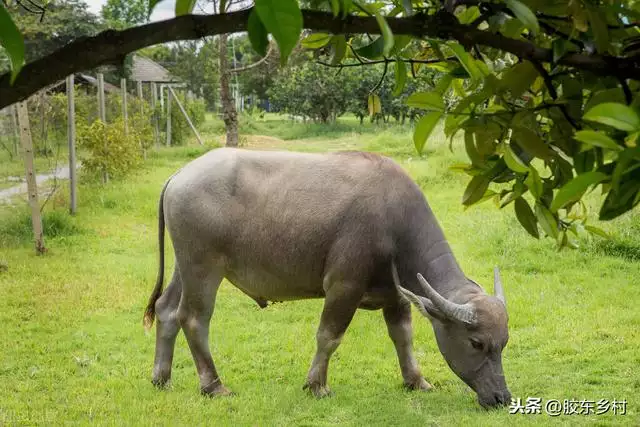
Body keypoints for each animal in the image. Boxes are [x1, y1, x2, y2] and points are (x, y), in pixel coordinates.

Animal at [144, 149, 510, 410]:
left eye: (503, 343)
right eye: (476, 343)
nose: (501, 398)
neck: (394, 221)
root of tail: (180, 175)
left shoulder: (396, 296)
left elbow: (403, 337)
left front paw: (416, 381)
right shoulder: (343, 287)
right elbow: (329, 336)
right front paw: (316, 385)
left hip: (184, 266)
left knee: (166, 310)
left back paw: (161, 377)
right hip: (203, 268)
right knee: (194, 318)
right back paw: (213, 386)